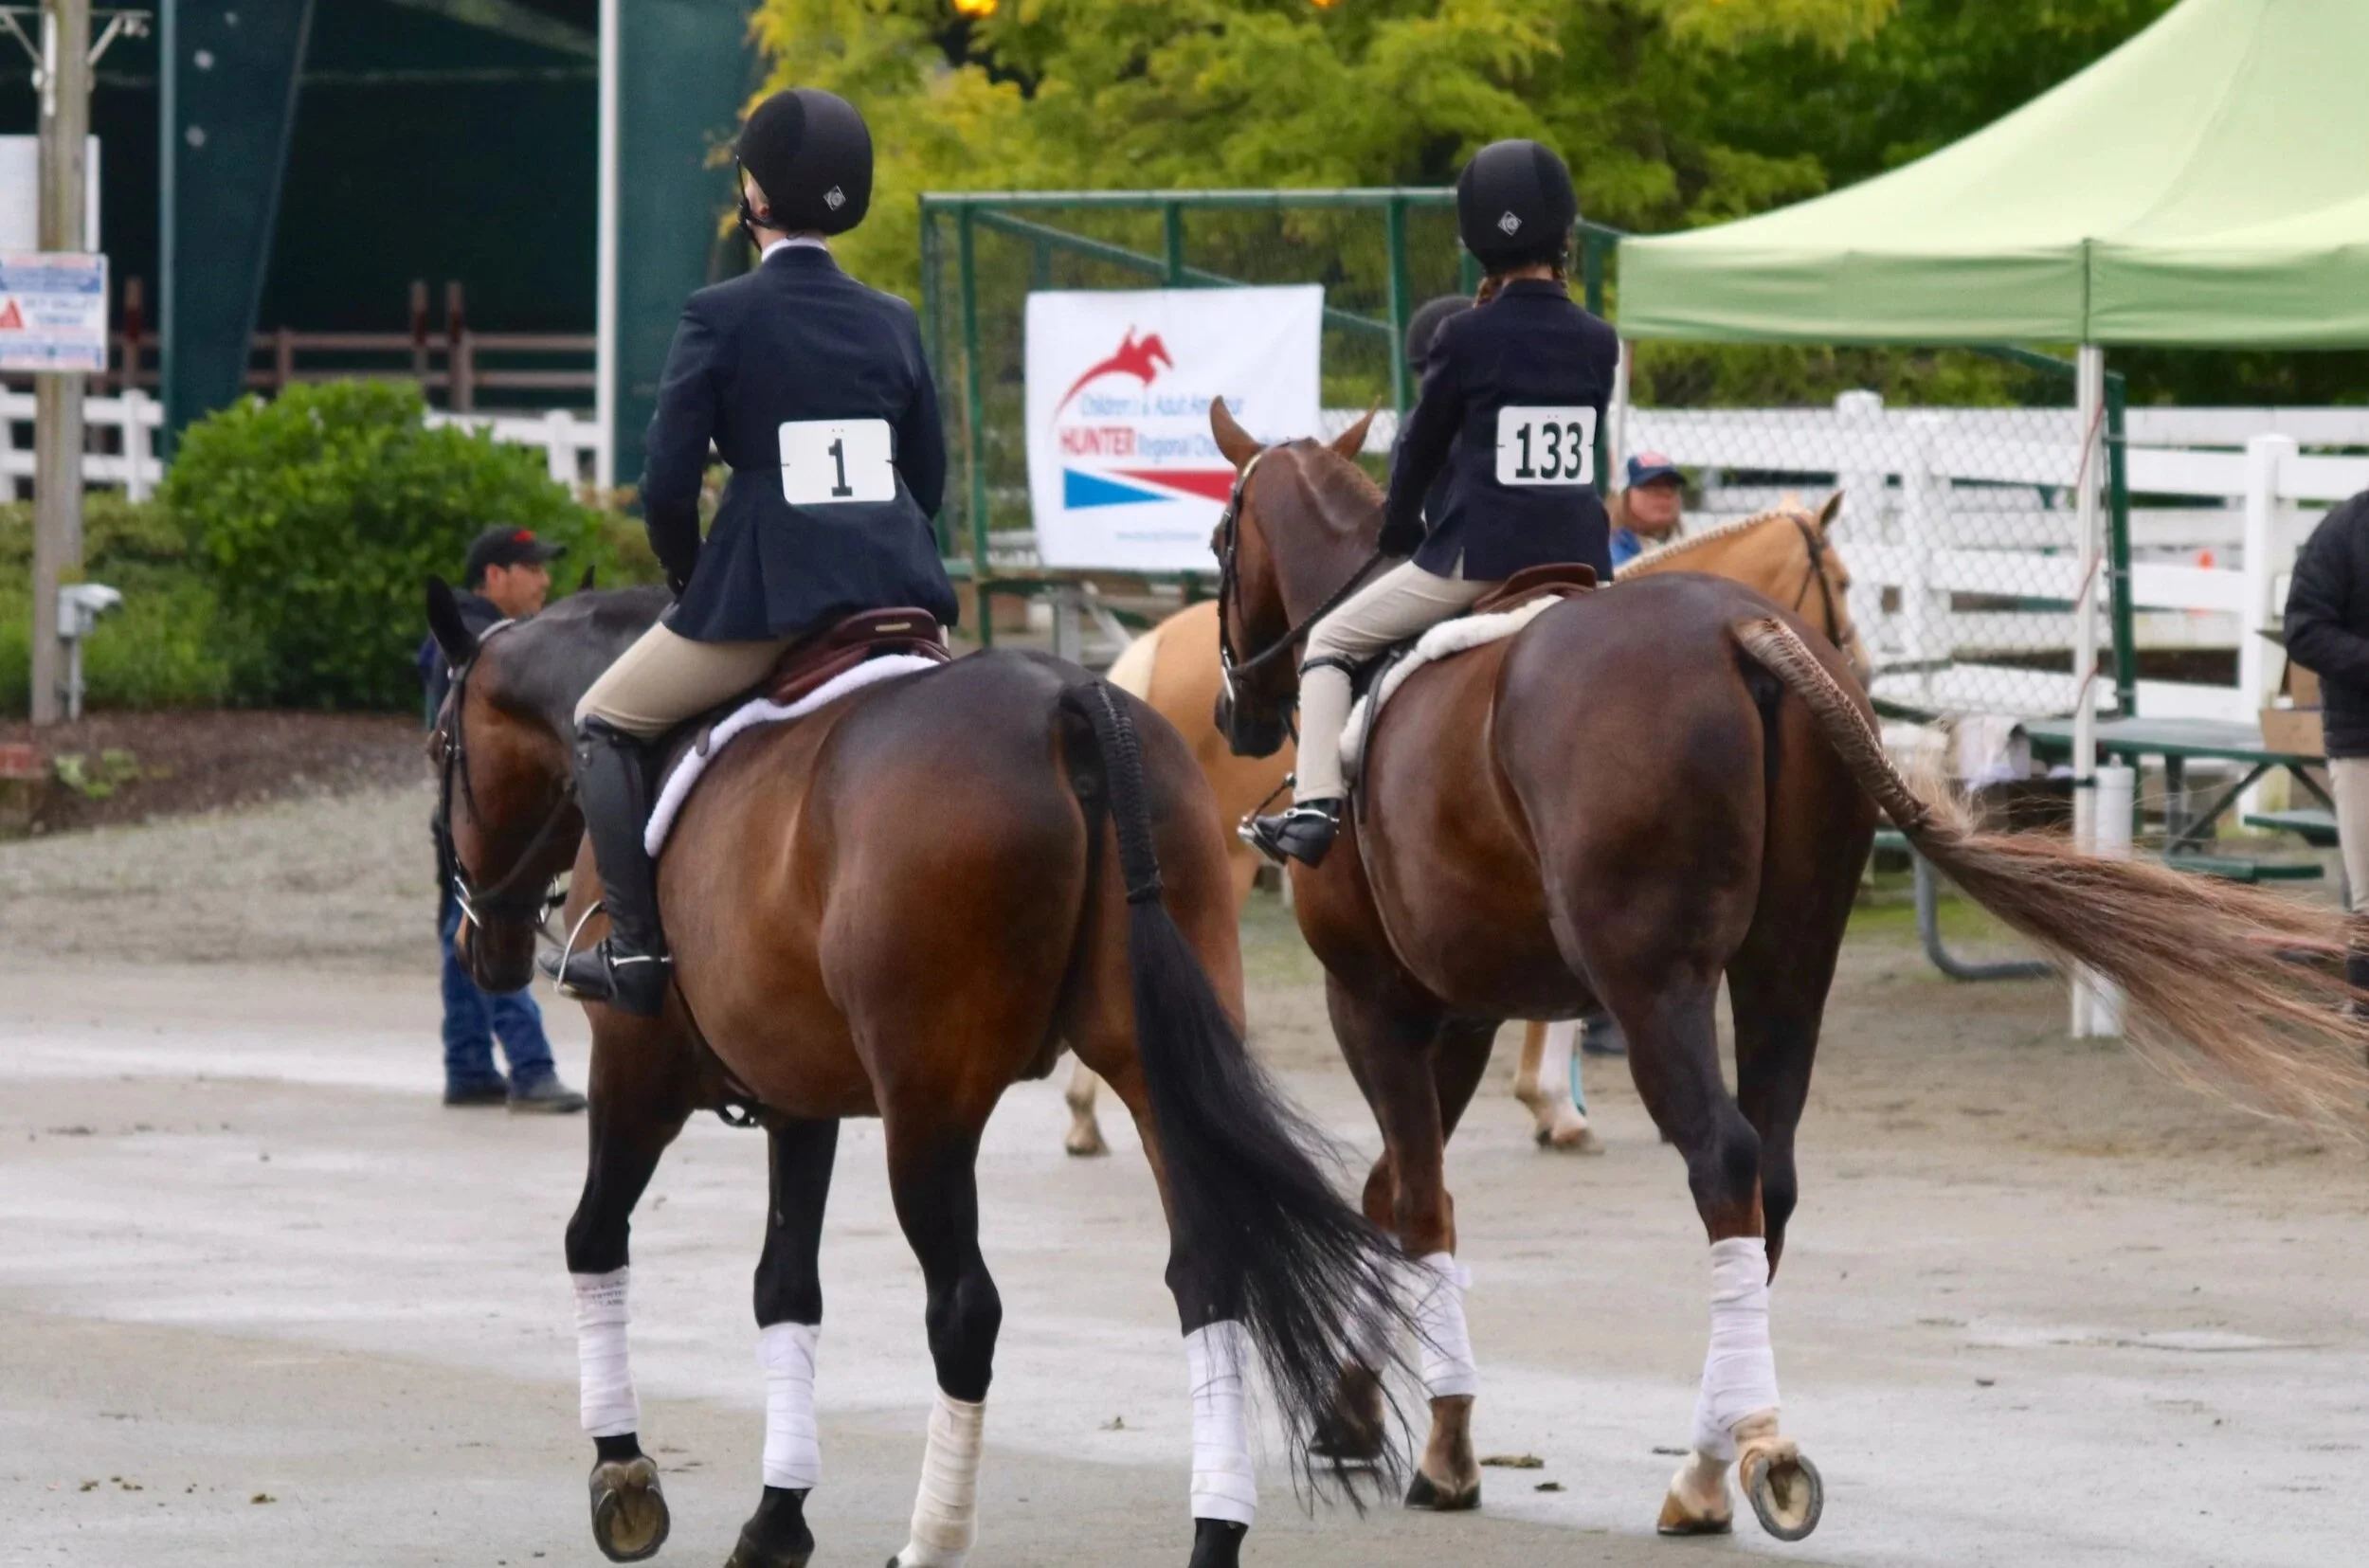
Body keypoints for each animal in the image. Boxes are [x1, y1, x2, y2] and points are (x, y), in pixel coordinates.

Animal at [425, 582, 1416, 1568]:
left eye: (441, 746)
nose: (479, 943)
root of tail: (1070, 700)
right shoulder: (800, 1101)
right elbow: (785, 1286)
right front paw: (776, 1517)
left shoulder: (634, 1073)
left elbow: (594, 1238)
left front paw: (624, 1473)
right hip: (1153, 1072)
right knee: (1207, 1271)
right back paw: (1214, 1529)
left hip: (927, 1112)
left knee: (965, 1309)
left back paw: (932, 1539)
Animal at [1202, 395, 2369, 1542]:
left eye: (1220, 539)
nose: (1232, 713)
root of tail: (1741, 630)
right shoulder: (1460, 1013)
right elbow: (1395, 1191)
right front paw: (1355, 1407)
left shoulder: (1374, 1001)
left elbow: (1417, 1201)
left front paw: (1443, 1445)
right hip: (1788, 971)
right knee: (1770, 1174)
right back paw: (1710, 1465)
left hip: (1655, 988)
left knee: (1721, 1160)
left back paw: (1739, 1456)